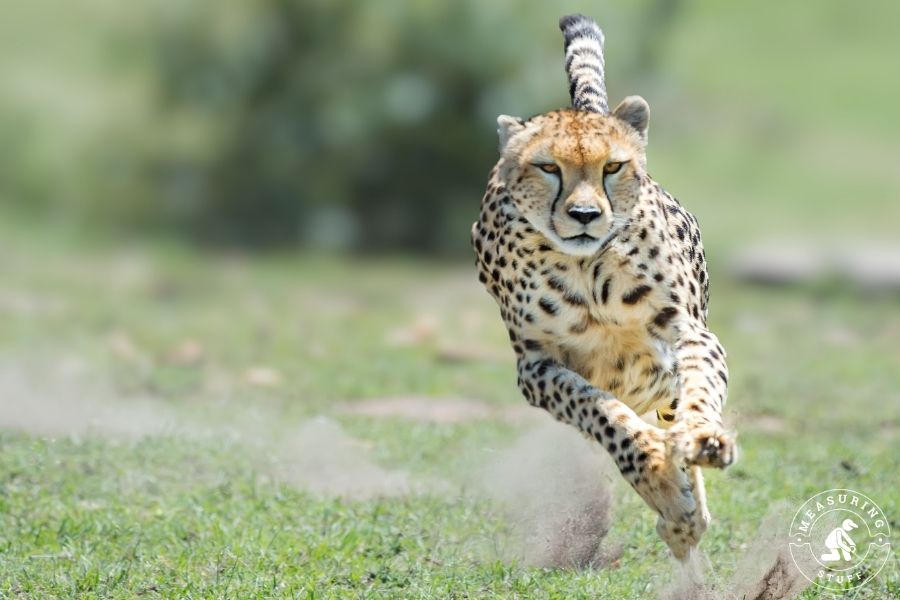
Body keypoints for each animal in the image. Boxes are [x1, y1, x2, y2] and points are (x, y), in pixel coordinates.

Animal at [471, 14, 737, 560]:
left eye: (612, 167)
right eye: (548, 167)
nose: (585, 215)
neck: (587, 269)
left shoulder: (688, 332)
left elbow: (700, 387)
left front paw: (703, 440)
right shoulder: (536, 367)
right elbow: (599, 411)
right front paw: (655, 472)